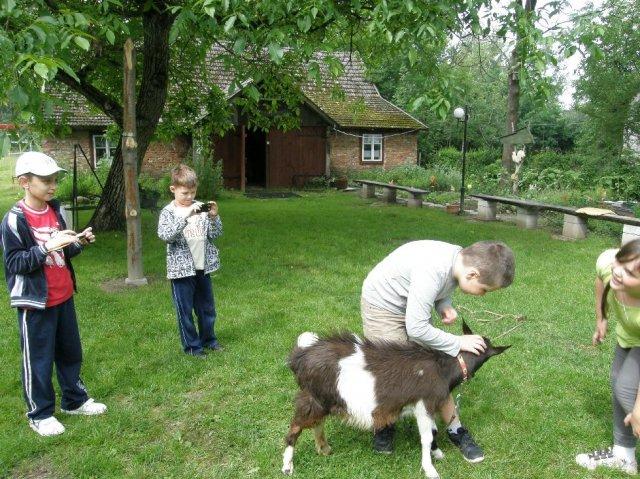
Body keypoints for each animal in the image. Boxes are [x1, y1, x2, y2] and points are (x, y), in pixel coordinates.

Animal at [280, 320, 510, 478]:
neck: (444, 368)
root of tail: (300, 357)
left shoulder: (424, 407)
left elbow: (433, 430)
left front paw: (437, 454)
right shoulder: (424, 403)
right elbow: (427, 436)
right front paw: (430, 469)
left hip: (323, 399)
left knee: (317, 422)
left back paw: (324, 448)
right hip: (311, 397)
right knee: (295, 428)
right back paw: (287, 466)